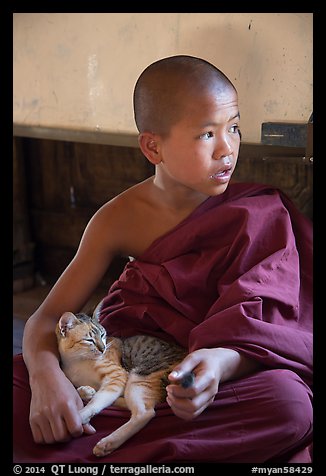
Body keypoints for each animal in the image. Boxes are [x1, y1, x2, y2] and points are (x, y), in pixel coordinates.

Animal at [55, 304, 194, 458]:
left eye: (102, 335)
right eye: (89, 340)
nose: (103, 349)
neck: (77, 362)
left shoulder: (118, 375)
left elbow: (99, 400)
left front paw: (82, 414)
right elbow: (86, 391)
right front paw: (85, 391)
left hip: (140, 376)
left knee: (145, 413)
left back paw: (107, 443)